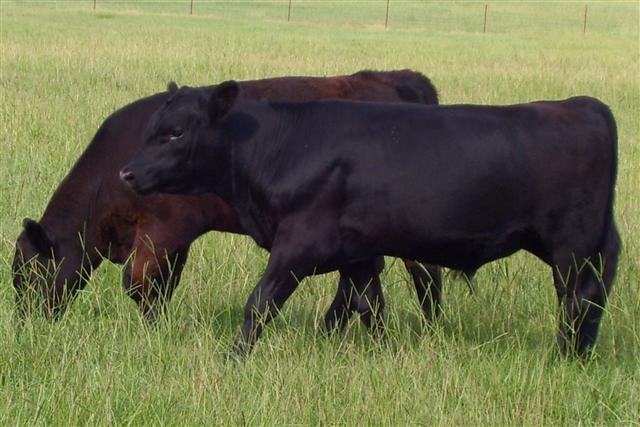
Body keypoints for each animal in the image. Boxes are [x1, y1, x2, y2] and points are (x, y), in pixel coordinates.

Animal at [12, 70, 446, 331]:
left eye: (28, 276)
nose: (25, 324)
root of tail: (395, 78)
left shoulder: (163, 230)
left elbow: (137, 283)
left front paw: (154, 329)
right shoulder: (175, 241)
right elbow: (164, 285)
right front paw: (160, 325)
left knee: (425, 273)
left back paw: (430, 326)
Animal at [120, 81, 620, 358]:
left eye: (176, 132)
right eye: (152, 130)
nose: (127, 172)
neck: (282, 146)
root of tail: (583, 104)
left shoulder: (297, 244)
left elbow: (259, 304)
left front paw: (232, 359)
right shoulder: (356, 252)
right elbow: (369, 305)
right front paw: (383, 352)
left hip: (571, 245)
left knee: (577, 300)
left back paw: (563, 358)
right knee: (592, 298)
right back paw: (580, 357)